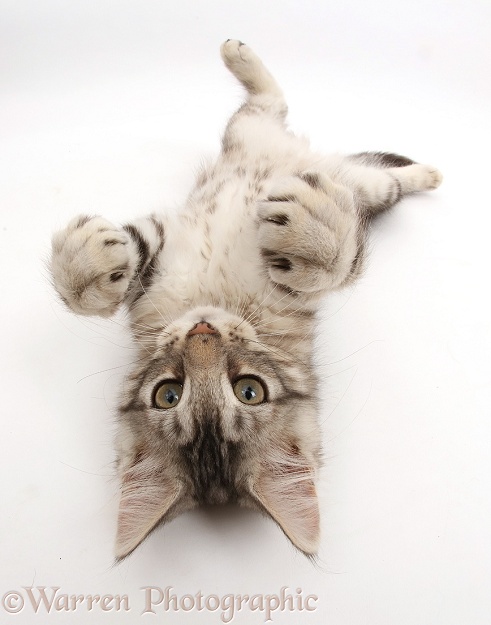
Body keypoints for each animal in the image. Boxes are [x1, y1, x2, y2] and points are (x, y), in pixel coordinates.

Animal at [49, 39, 442, 560]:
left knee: (353, 159)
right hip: (260, 135)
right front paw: (87, 265)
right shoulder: (162, 270)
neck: (217, 298)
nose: (202, 332)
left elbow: (336, 262)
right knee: (276, 109)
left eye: (249, 391)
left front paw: (316, 231)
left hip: (346, 179)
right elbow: (113, 271)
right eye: (168, 394)